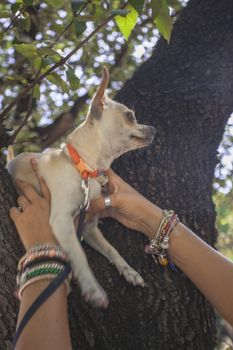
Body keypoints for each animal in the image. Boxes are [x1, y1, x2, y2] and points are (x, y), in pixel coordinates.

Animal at [8, 67, 156, 308]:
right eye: (130, 116)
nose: (153, 128)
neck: (84, 168)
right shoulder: (62, 221)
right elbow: (79, 254)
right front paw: (92, 288)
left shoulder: (88, 227)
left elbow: (111, 249)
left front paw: (129, 271)